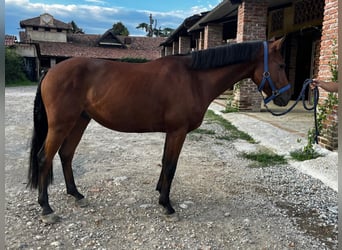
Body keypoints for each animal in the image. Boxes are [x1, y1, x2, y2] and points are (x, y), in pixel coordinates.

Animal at [28, 37, 292, 223]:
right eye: (281, 64)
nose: (286, 97)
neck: (194, 79)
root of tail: (50, 71)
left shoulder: (171, 132)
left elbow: (165, 162)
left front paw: (159, 194)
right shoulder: (178, 131)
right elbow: (171, 165)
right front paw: (167, 205)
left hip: (80, 121)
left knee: (66, 155)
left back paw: (76, 195)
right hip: (61, 124)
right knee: (44, 158)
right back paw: (46, 208)